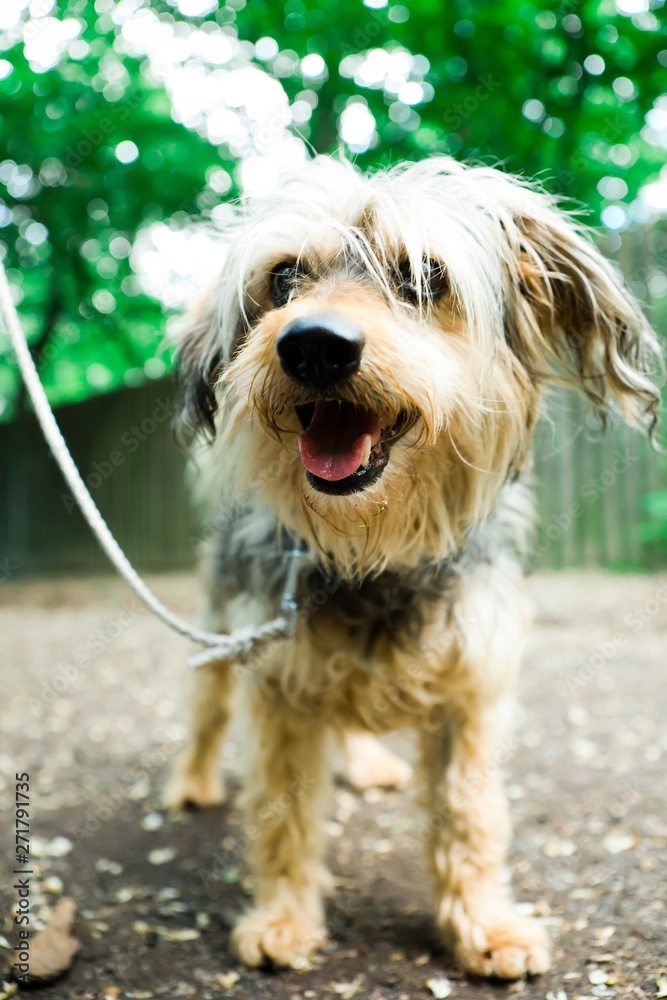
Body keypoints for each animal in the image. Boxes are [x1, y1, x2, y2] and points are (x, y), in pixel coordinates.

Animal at [163, 156, 664, 976]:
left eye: (425, 277)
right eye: (283, 277)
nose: (314, 346)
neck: (378, 553)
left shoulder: (471, 693)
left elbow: (468, 814)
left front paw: (483, 926)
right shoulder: (281, 686)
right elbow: (284, 813)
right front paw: (282, 920)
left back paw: (366, 763)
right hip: (222, 628)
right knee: (208, 710)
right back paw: (191, 782)